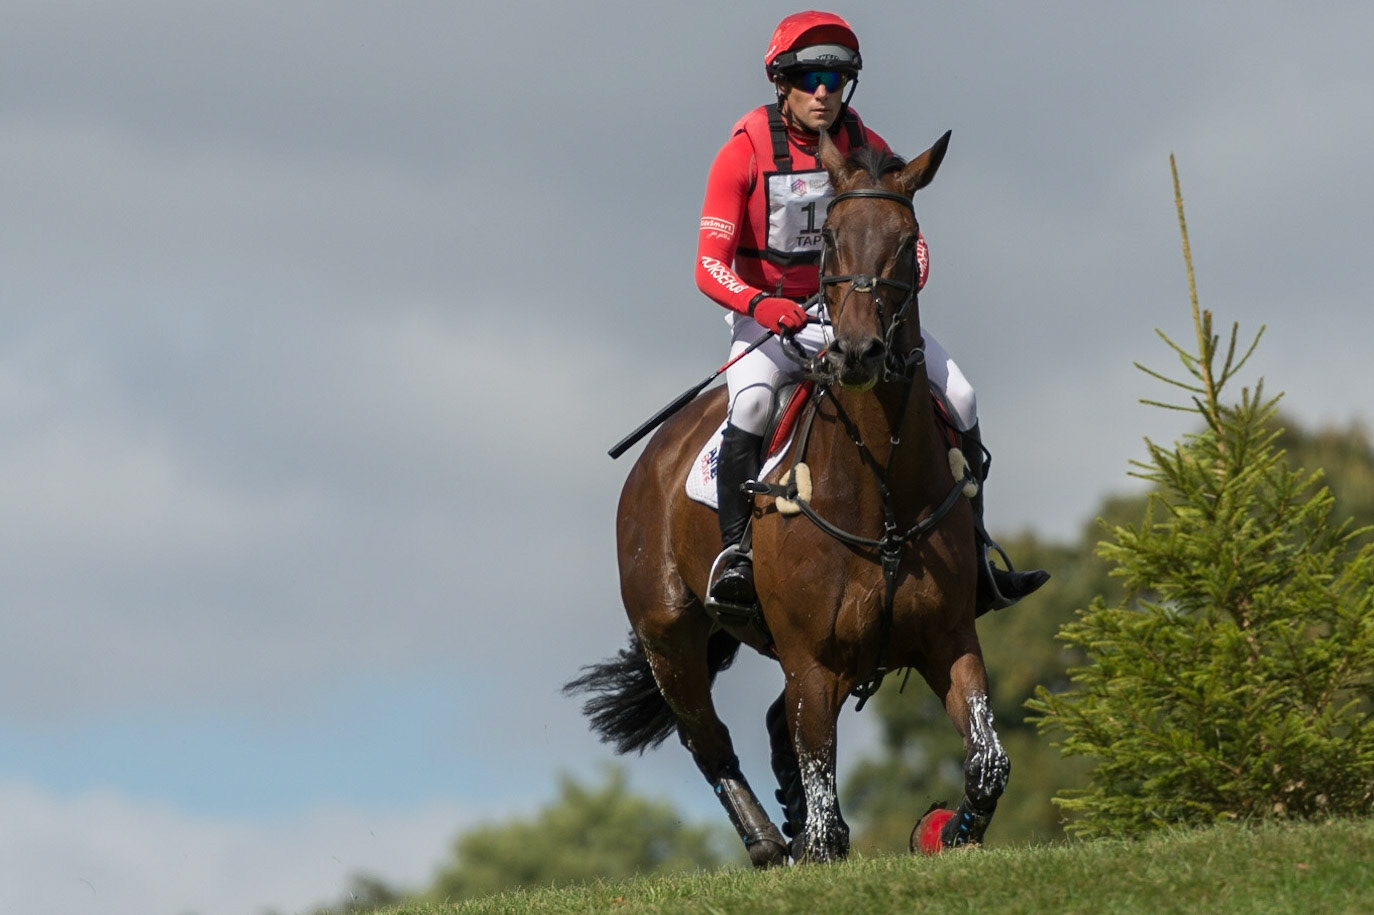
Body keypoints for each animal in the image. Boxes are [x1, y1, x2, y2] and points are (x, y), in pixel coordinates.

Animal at [567, 128, 1008, 866]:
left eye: (907, 239)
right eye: (827, 234)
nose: (855, 353)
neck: (880, 487)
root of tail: (653, 456)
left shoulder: (949, 639)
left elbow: (987, 763)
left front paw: (948, 831)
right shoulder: (812, 660)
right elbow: (822, 797)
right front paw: (819, 840)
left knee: (776, 725)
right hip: (671, 639)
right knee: (708, 739)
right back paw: (768, 842)